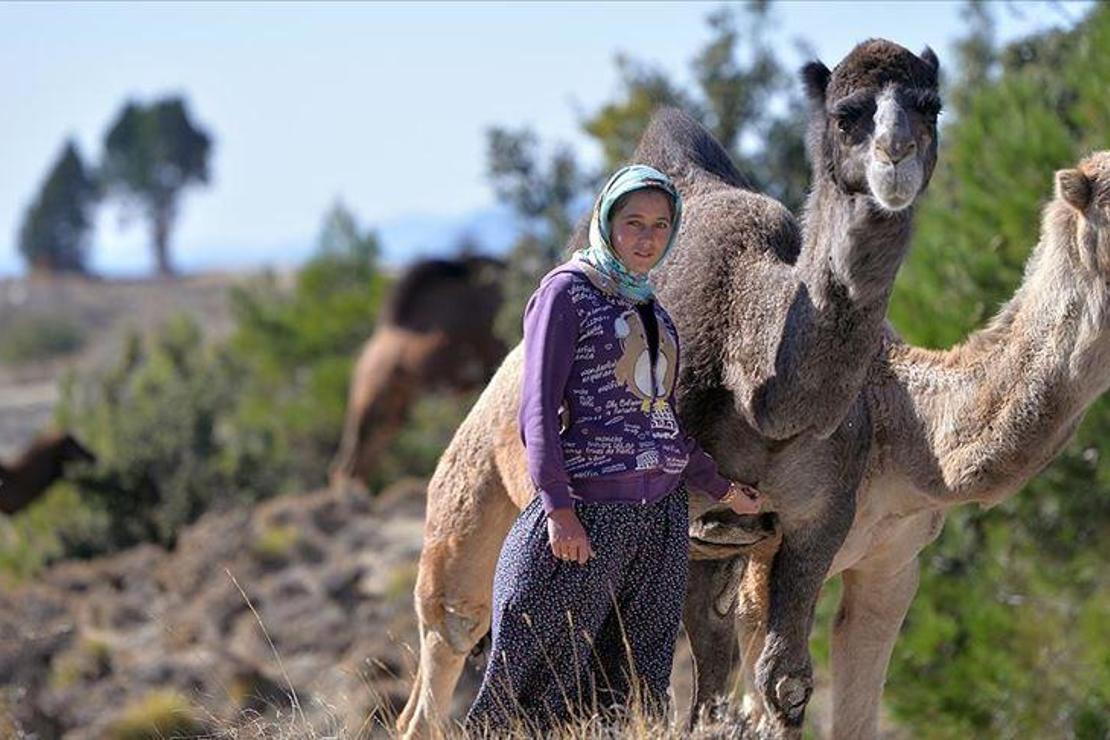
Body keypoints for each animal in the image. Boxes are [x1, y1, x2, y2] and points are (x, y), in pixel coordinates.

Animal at [395, 40, 941, 740]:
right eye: (847, 113)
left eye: (931, 105)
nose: (896, 158)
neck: (759, 385)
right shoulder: (683, 523)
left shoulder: (819, 519)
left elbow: (784, 679)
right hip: (466, 503)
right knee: (452, 634)